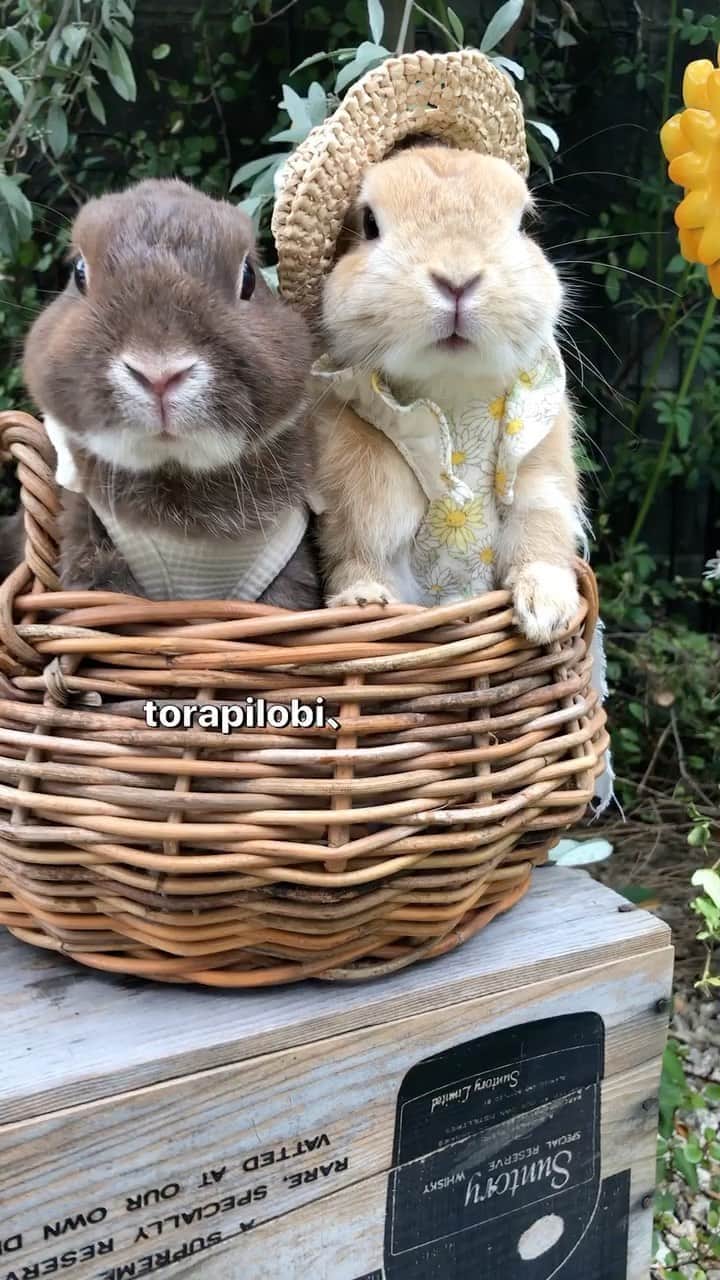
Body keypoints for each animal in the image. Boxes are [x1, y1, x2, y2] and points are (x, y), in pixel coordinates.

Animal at [311, 144, 584, 642]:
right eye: (369, 224)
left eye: (524, 222)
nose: (458, 279)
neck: (452, 391)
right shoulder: (362, 501)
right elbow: (357, 555)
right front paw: (364, 602)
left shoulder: (540, 477)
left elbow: (542, 537)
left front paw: (546, 611)